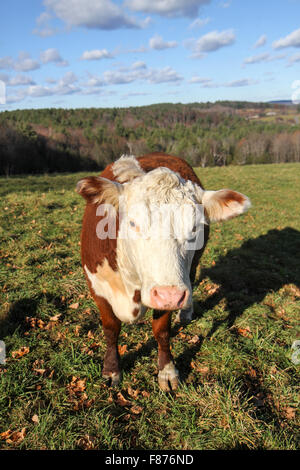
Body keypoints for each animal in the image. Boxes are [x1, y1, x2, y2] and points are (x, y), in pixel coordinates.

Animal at [76, 152, 250, 392]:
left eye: (195, 227)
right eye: (132, 223)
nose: (171, 296)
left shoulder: (170, 288)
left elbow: (161, 331)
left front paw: (167, 371)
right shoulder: (98, 288)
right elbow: (111, 329)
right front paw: (111, 370)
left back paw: (185, 313)